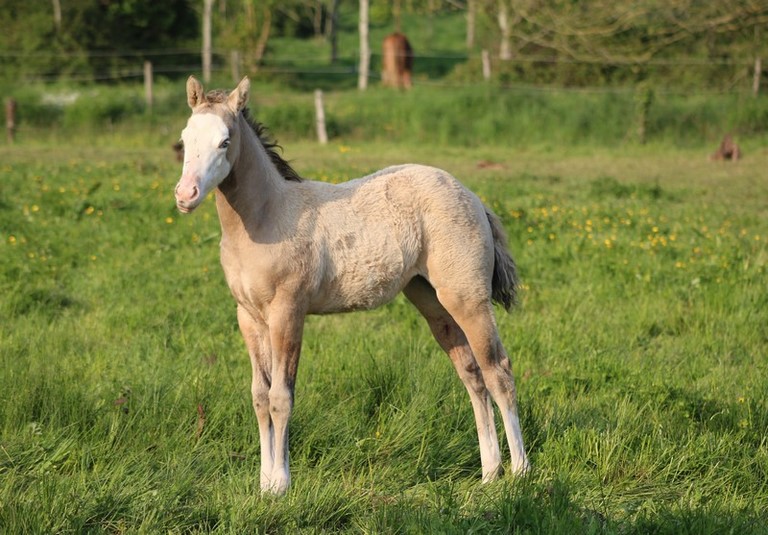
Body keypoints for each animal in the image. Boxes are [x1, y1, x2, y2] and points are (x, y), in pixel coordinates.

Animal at [174, 76, 530, 495]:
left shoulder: (288, 312)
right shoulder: (248, 317)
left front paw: (281, 484)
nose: (185, 195)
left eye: (225, 141)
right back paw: (490, 473)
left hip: (468, 297)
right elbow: (260, 397)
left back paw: (520, 472)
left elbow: (281, 396)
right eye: (184, 139)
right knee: (471, 374)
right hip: (431, 300)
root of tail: (472, 196)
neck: (266, 218)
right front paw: (264, 485)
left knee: (498, 370)